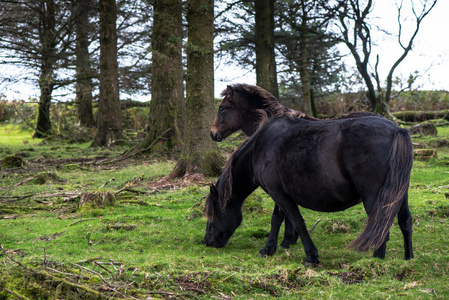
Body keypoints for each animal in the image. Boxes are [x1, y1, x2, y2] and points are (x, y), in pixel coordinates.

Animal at [203, 113, 412, 264]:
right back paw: (408, 259)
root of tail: (396, 129)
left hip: (375, 198)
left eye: (213, 215)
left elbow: (297, 222)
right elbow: (276, 220)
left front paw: (311, 256)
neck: (260, 147)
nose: (207, 242)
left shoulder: (279, 194)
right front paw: (268, 249)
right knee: (405, 222)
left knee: (380, 227)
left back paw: (376, 262)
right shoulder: (279, 194)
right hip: (399, 195)